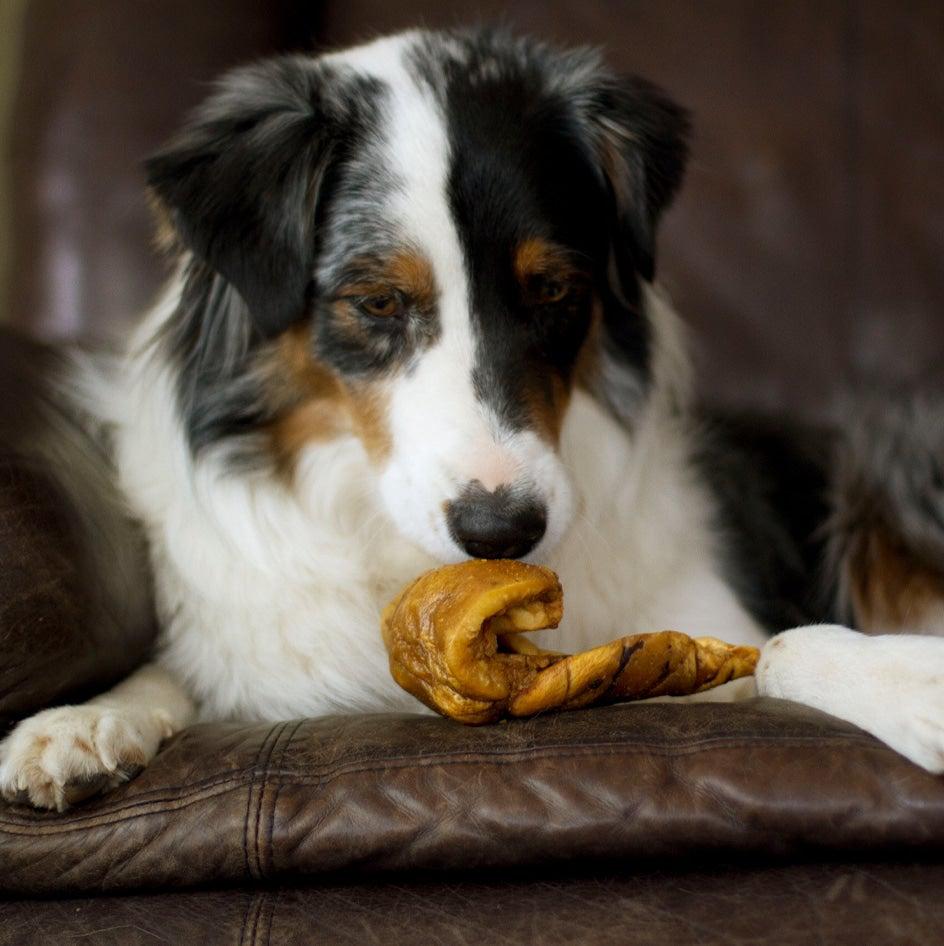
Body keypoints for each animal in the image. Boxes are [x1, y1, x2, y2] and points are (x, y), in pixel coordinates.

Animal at [1, 31, 944, 812]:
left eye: (553, 290)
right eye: (379, 301)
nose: (503, 532)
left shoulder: (706, 622)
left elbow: (784, 647)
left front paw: (910, 687)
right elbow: (178, 671)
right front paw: (83, 720)